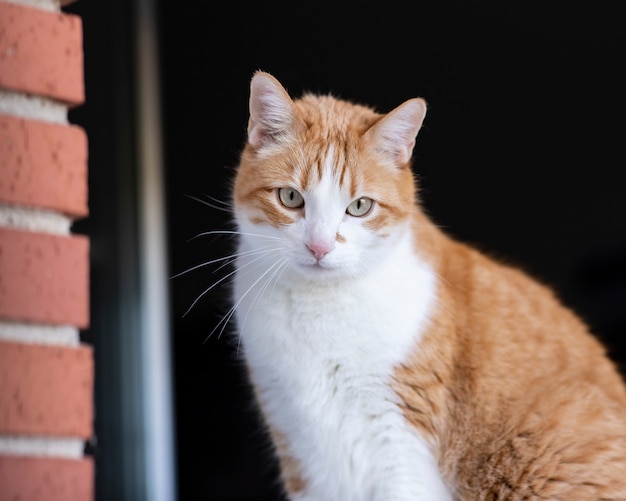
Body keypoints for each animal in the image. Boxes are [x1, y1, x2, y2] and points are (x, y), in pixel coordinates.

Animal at [227, 71, 624, 500]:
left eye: (359, 206)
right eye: (290, 198)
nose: (319, 246)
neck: (318, 312)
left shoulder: (399, 437)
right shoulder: (297, 441)